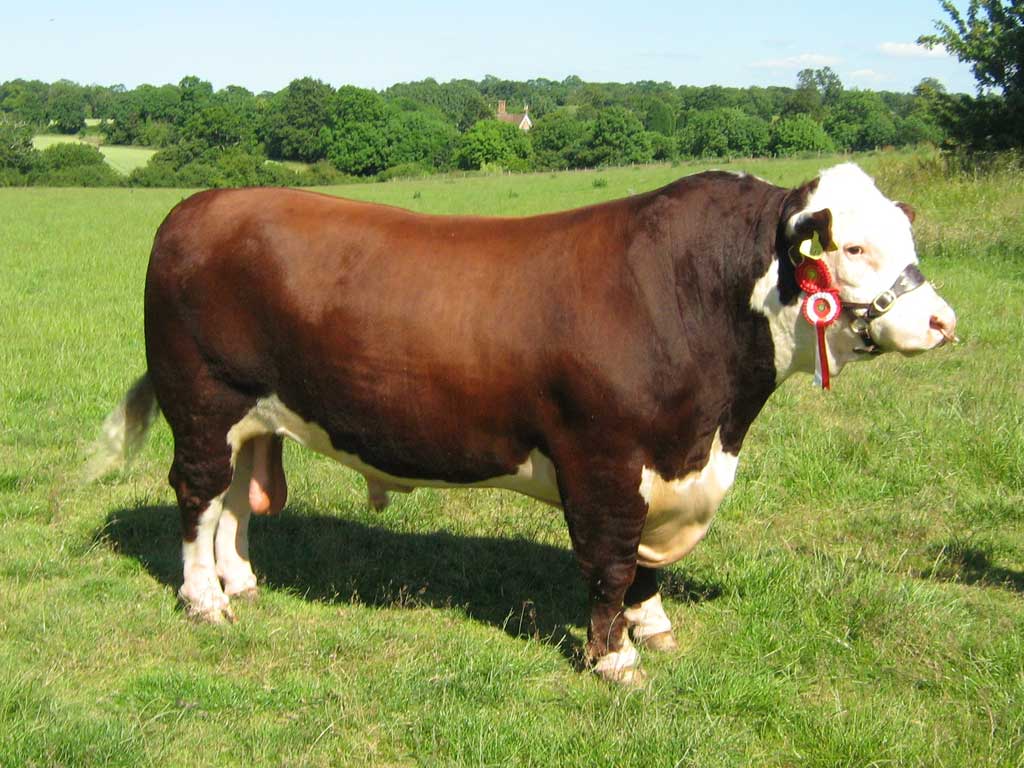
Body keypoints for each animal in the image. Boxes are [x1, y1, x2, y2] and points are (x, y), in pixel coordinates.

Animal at [91, 163, 956, 684]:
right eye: (852, 247)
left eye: (909, 238)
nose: (943, 322)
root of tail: (204, 204)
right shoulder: (604, 463)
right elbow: (610, 563)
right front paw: (613, 663)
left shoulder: (663, 467)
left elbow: (643, 568)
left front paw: (653, 627)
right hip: (201, 400)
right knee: (197, 496)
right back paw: (205, 600)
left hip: (254, 411)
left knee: (236, 498)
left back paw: (239, 580)